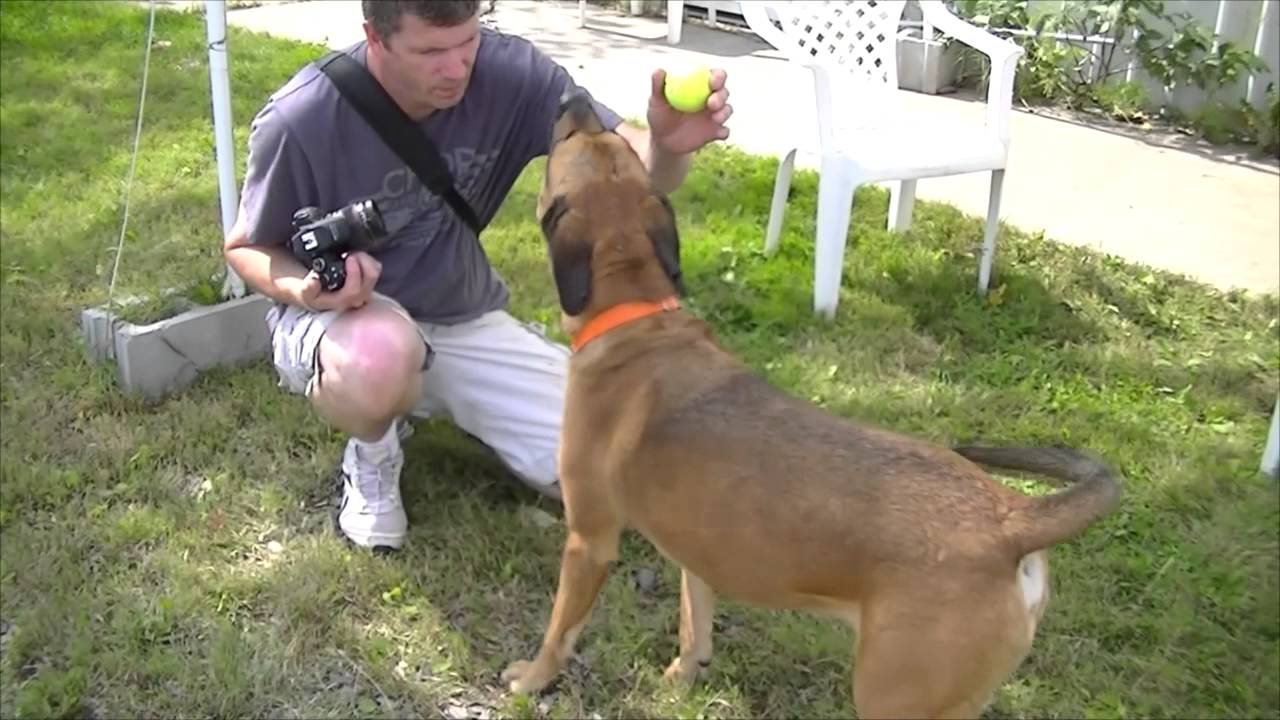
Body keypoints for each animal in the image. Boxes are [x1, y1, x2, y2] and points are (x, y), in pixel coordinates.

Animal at [499, 90, 1121, 717]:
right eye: (611, 142)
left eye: (570, 144)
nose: (574, 96)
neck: (636, 316)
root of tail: (1014, 520)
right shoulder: (696, 551)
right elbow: (695, 621)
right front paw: (681, 678)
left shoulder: (590, 540)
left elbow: (560, 630)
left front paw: (531, 679)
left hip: (892, 695)